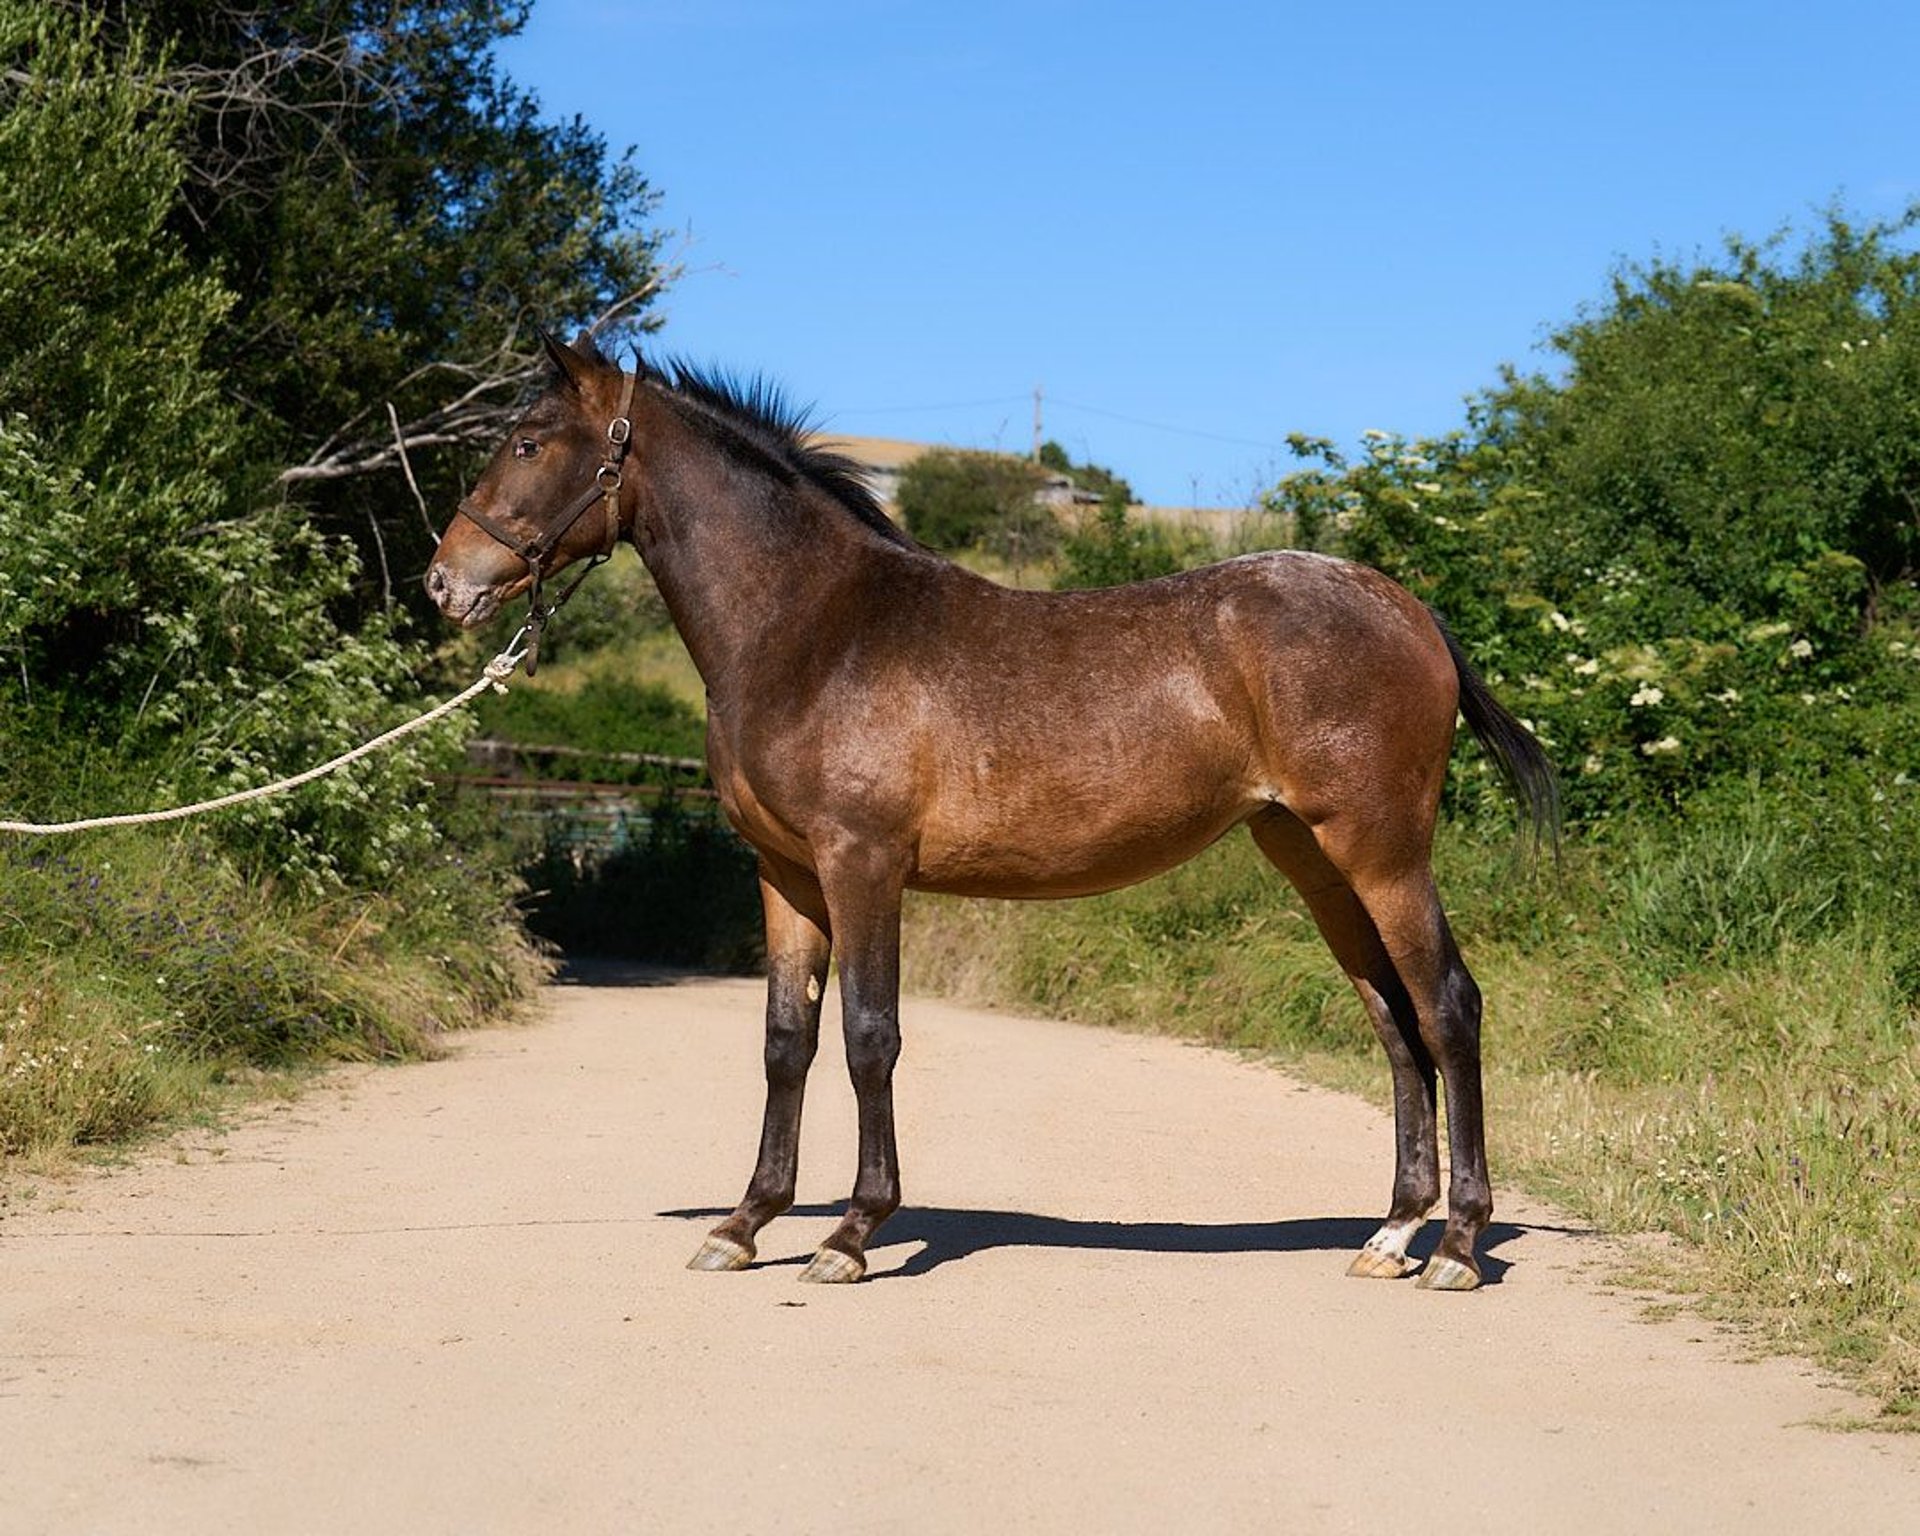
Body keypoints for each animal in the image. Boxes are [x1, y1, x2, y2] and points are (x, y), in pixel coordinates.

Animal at [428, 332, 1551, 1282]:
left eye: (528, 442)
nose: (446, 582)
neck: (813, 631)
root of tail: (1408, 610)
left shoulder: (862, 863)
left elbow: (868, 1037)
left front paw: (850, 1233)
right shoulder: (784, 874)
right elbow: (785, 1041)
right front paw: (743, 1226)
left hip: (1382, 854)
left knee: (1448, 1008)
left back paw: (1457, 1245)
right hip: (1312, 859)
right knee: (1392, 1020)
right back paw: (1392, 1233)